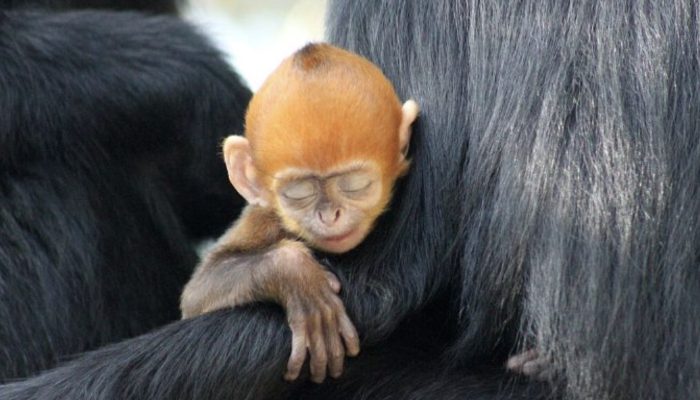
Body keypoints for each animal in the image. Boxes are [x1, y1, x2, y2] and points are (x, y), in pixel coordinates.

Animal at [180, 43, 420, 384]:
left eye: (354, 185)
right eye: (299, 193)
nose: (329, 215)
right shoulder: (264, 219)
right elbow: (195, 297)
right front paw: (297, 277)